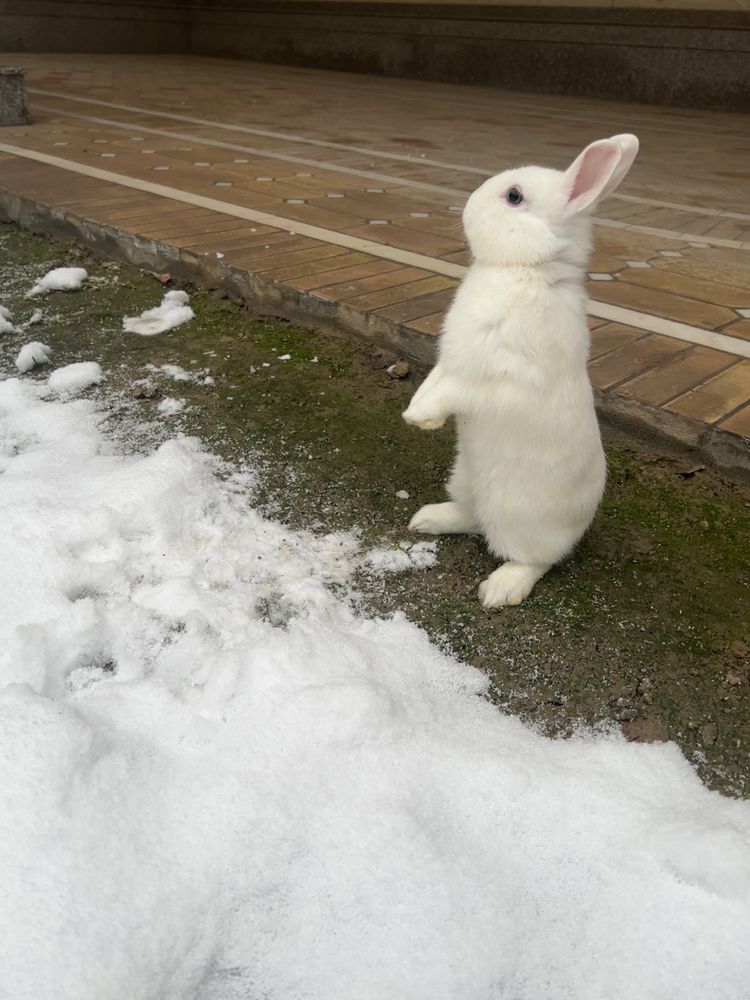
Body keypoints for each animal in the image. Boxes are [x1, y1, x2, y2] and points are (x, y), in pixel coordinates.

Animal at [402, 134, 644, 608]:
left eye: (514, 197)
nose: (466, 207)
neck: (525, 270)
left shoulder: (491, 375)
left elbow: (455, 391)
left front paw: (420, 418)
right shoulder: (450, 361)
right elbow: (434, 381)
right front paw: (417, 415)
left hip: (522, 519)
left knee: (534, 558)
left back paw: (500, 590)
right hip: (465, 479)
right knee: (472, 517)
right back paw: (426, 519)